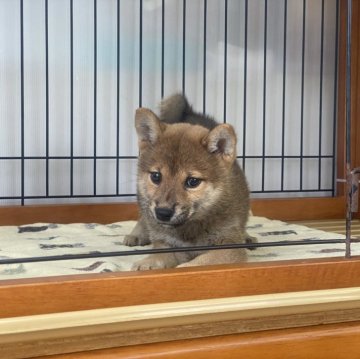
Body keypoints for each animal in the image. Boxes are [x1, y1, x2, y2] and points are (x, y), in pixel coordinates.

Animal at [124, 95, 253, 270]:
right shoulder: (169, 245)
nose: (162, 213)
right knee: (145, 219)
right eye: (156, 176)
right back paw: (136, 235)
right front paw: (148, 263)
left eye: (192, 181)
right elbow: (160, 255)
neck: (190, 228)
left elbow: (200, 262)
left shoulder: (230, 247)